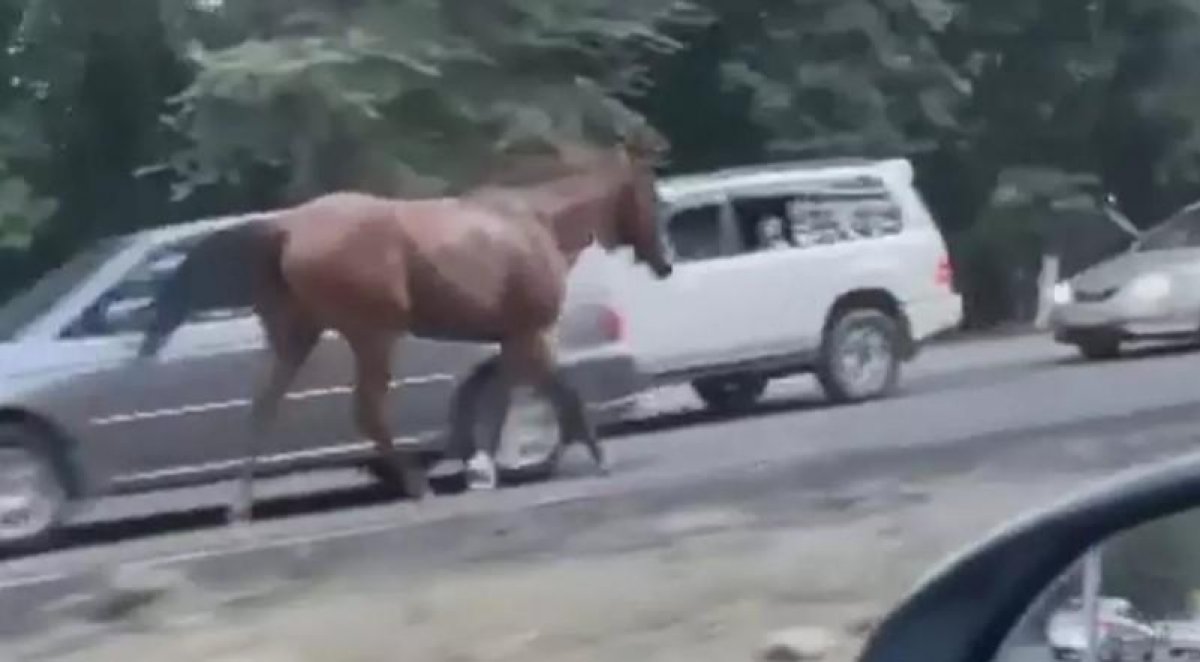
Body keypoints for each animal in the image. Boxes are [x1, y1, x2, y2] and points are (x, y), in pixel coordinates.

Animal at [138, 135, 676, 527]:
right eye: (652, 193)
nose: (665, 263)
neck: (532, 222)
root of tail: (286, 228)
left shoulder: (509, 336)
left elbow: (503, 397)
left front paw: (484, 465)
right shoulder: (531, 330)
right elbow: (560, 393)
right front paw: (595, 457)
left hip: (295, 337)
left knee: (262, 409)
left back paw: (240, 507)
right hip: (373, 335)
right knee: (368, 412)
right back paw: (419, 487)